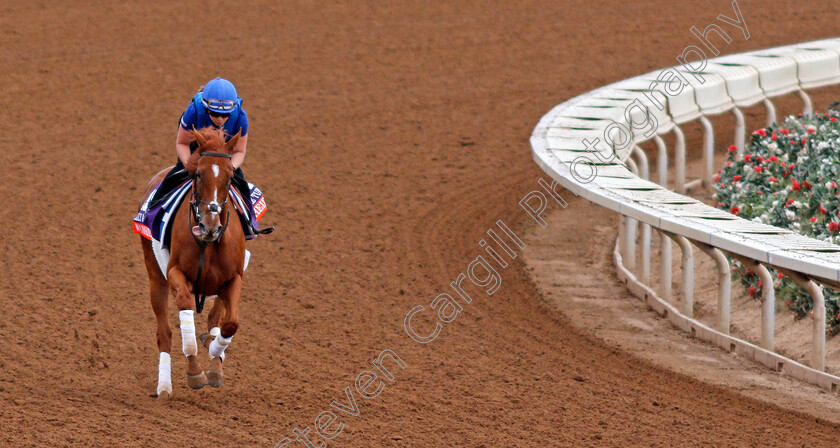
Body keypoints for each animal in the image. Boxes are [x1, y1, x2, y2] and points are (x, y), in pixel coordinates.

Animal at [138, 127, 248, 400]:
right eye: (199, 173)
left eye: (231, 176)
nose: (210, 226)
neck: (208, 244)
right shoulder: (175, 273)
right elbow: (185, 308)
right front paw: (195, 372)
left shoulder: (234, 279)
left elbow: (230, 323)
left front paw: (215, 358)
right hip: (155, 278)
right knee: (164, 333)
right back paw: (164, 388)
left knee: (215, 317)